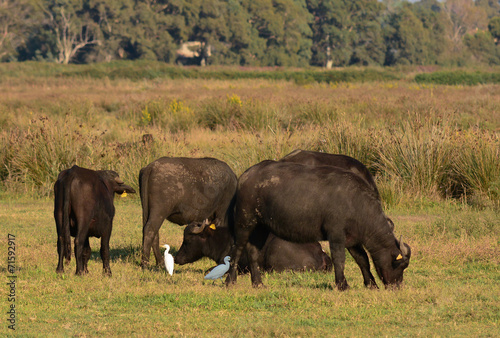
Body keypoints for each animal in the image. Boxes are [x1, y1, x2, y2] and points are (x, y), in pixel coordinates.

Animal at [227, 161, 410, 290]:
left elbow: (362, 260)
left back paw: (258, 283)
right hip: (244, 222)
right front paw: (342, 285)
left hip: (261, 228)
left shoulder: (353, 240)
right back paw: (230, 280)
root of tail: (245, 176)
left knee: (253, 252)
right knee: (237, 250)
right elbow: (339, 259)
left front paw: (371, 284)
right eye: (399, 264)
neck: (356, 204)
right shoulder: (336, 236)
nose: (397, 286)